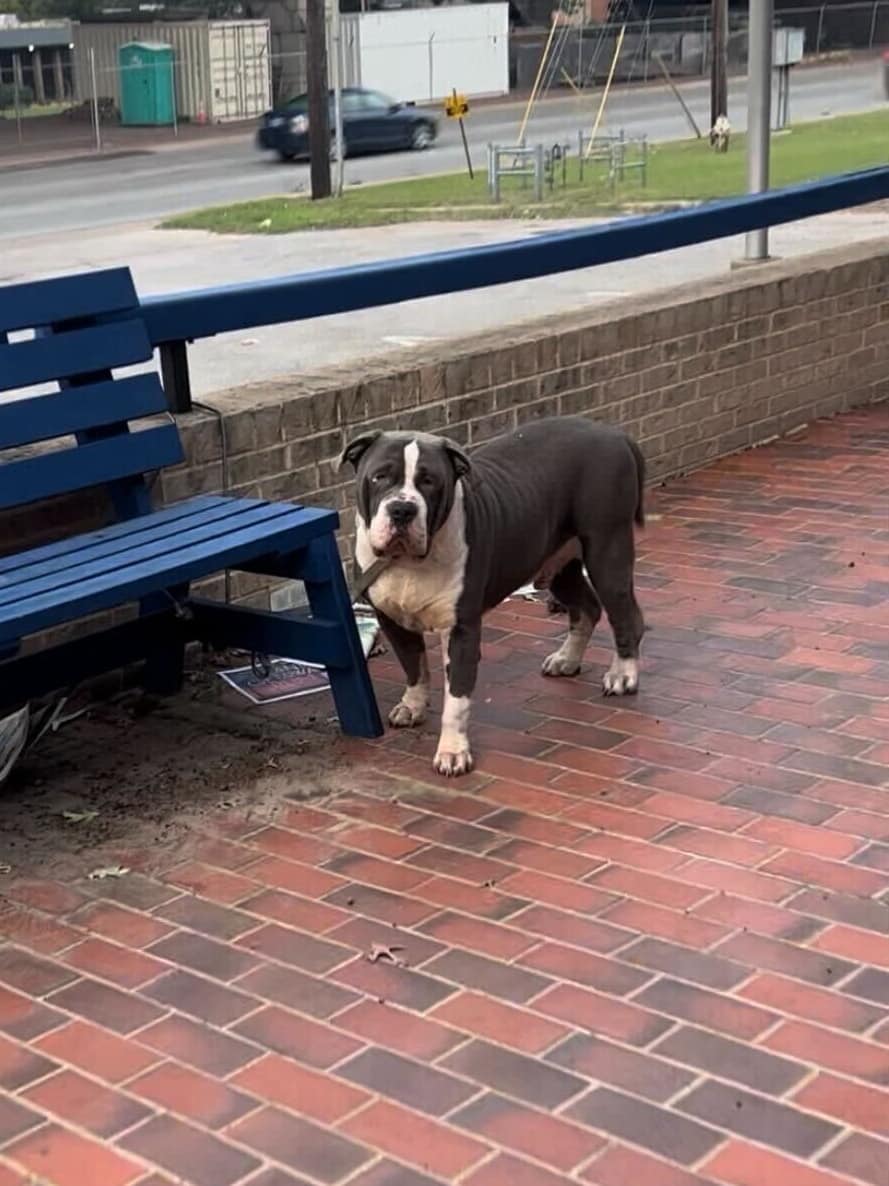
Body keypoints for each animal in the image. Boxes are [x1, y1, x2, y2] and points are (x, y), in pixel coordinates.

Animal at [341, 417, 649, 778]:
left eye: (429, 481)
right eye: (379, 477)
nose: (402, 508)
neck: (408, 563)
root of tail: (614, 433)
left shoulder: (461, 630)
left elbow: (456, 700)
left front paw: (453, 752)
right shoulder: (391, 620)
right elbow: (413, 666)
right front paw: (412, 706)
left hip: (607, 551)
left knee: (625, 615)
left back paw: (623, 674)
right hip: (558, 565)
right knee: (586, 607)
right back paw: (566, 659)